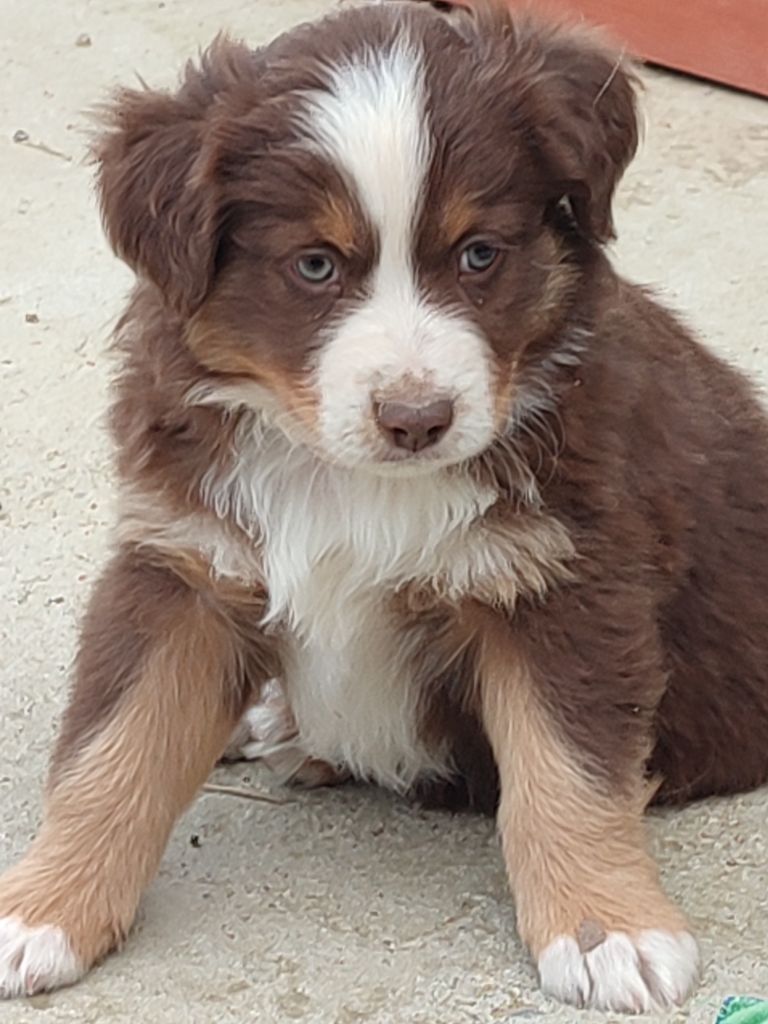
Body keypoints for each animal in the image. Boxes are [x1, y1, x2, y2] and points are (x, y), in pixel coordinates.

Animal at [1, 0, 767, 1010]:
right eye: (315, 266)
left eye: (479, 255)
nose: (417, 419)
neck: (351, 483)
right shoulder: (186, 561)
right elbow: (110, 750)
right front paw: (39, 909)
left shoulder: (565, 579)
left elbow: (569, 771)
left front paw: (609, 932)